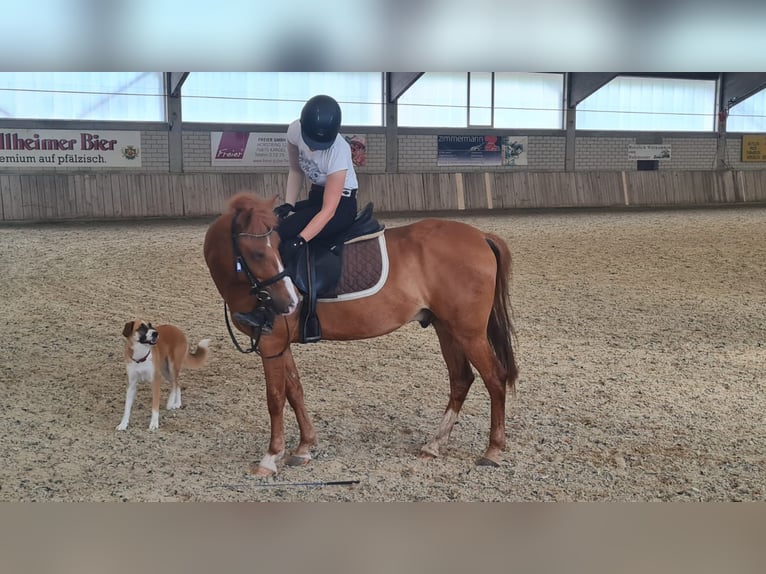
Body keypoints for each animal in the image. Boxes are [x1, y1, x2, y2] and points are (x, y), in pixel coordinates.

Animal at [202, 191, 520, 480]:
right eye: (258, 253)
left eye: (278, 248)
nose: (290, 302)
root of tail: (481, 236)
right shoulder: (282, 345)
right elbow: (295, 391)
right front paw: (304, 447)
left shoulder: (270, 344)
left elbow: (275, 397)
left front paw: (270, 458)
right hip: (447, 328)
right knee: (461, 379)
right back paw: (434, 445)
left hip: (469, 333)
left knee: (494, 378)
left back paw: (492, 450)